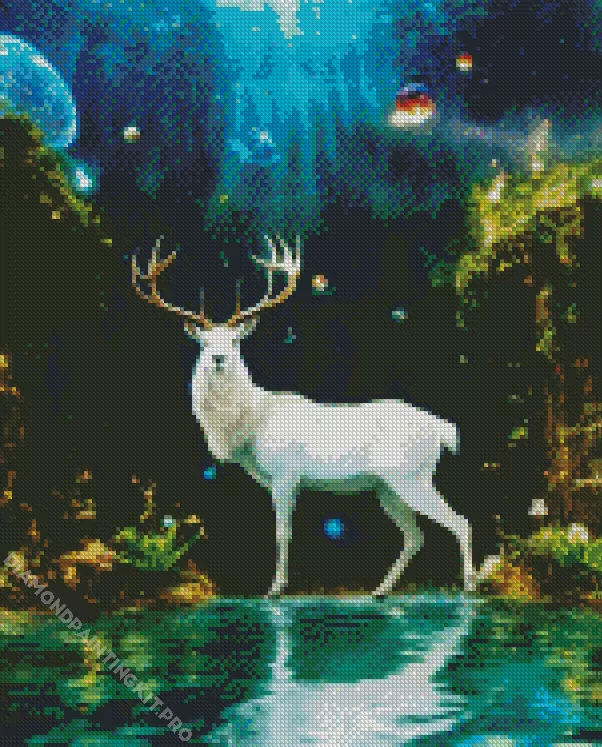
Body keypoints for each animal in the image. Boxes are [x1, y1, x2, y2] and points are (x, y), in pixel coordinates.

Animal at [132, 234, 476, 598]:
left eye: (236, 340)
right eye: (204, 342)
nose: (219, 357)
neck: (251, 425)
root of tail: (441, 429)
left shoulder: (285, 472)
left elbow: (283, 533)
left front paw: (275, 588)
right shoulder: (278, 480)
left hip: (411, 475)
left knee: (460, 521)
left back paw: (469, 585)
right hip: (388, 486)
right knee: (415, 536)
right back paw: (380, 590)